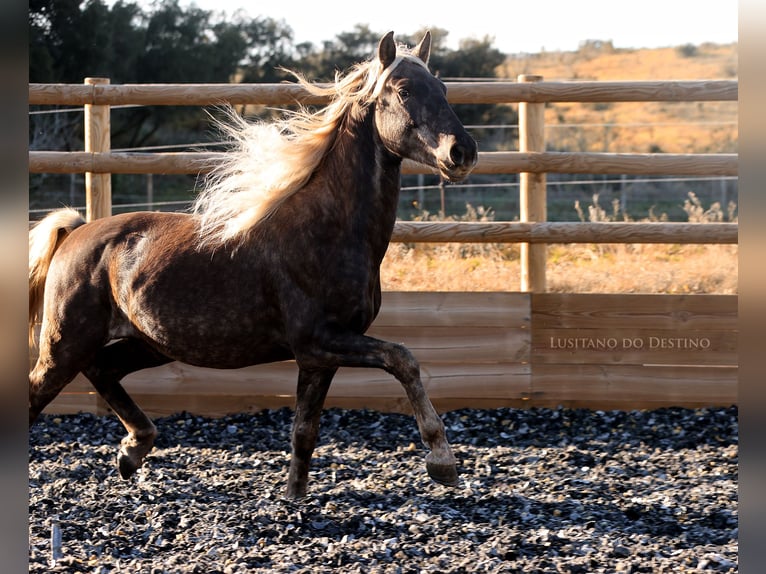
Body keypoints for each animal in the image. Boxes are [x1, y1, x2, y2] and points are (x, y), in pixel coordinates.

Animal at [28, 31, 478, 498]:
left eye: (443, 88)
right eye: (404, 90)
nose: (462, 152)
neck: (329, 230)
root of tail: (75, 232)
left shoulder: (319, 357)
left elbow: (305, 431)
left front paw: (294, 497)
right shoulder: (319, 340)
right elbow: (403, 359)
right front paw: (442, 462)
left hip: (148, 343)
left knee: (102, 369)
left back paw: (132, 453)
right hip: (64, 346)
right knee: (37, 394)